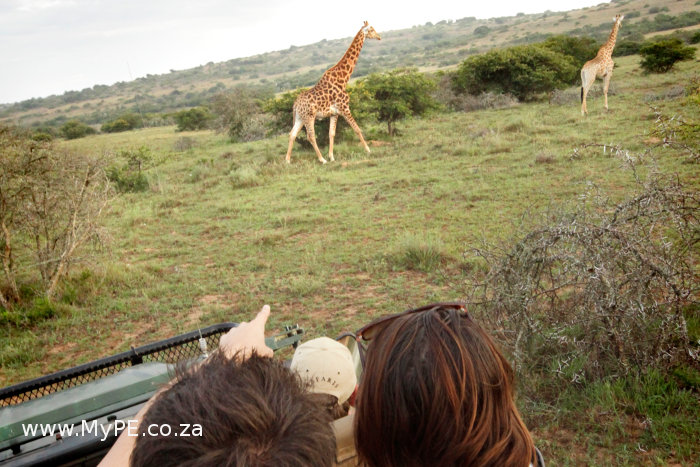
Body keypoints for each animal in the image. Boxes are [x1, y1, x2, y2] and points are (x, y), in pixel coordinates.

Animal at [285, 21, 381, 164]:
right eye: (372, 29)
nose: (379, 37)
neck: (343, 78)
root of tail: (295, 104)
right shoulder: (345, 108)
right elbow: (357, 129)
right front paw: (368, 150)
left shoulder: (334, 113)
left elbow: (332, 133)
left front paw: (332, 157)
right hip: (309, 116)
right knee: (310, 136)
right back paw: (321, 159)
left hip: (300, 117)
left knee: (292, 134)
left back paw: (287, 160)